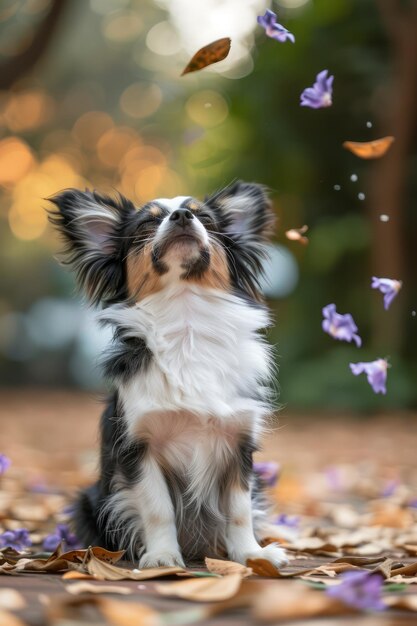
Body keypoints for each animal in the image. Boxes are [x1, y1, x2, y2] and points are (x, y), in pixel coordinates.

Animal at [49, 180, 286, 564]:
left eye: (204, 218)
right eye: (148, 223)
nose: (182, 216)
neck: (185, 321)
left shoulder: (237, 445)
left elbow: (239, 510)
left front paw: (251, 554)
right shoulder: (139, 449)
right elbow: (158, 508)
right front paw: (162, 557)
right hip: (87, 502)